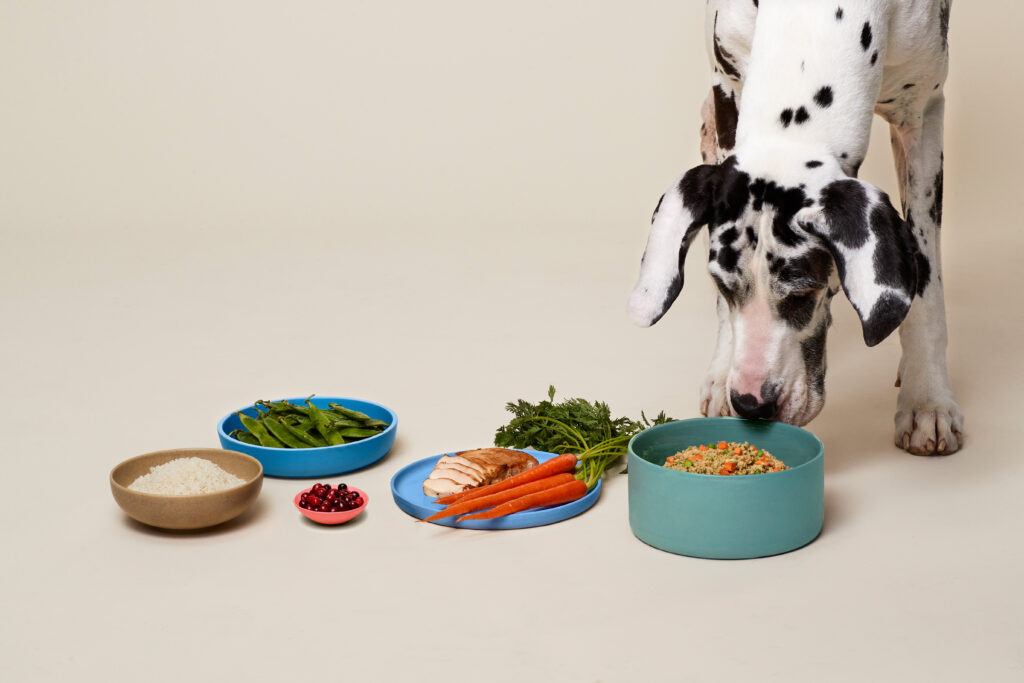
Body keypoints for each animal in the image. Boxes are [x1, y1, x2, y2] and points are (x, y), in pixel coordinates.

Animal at [626, 1, 962, 458]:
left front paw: (927, 399)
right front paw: (722, 370)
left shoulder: (923, 114)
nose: (751, 404)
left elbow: (927, 285)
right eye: (723, 286)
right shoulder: (727, 89)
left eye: (805, 294)